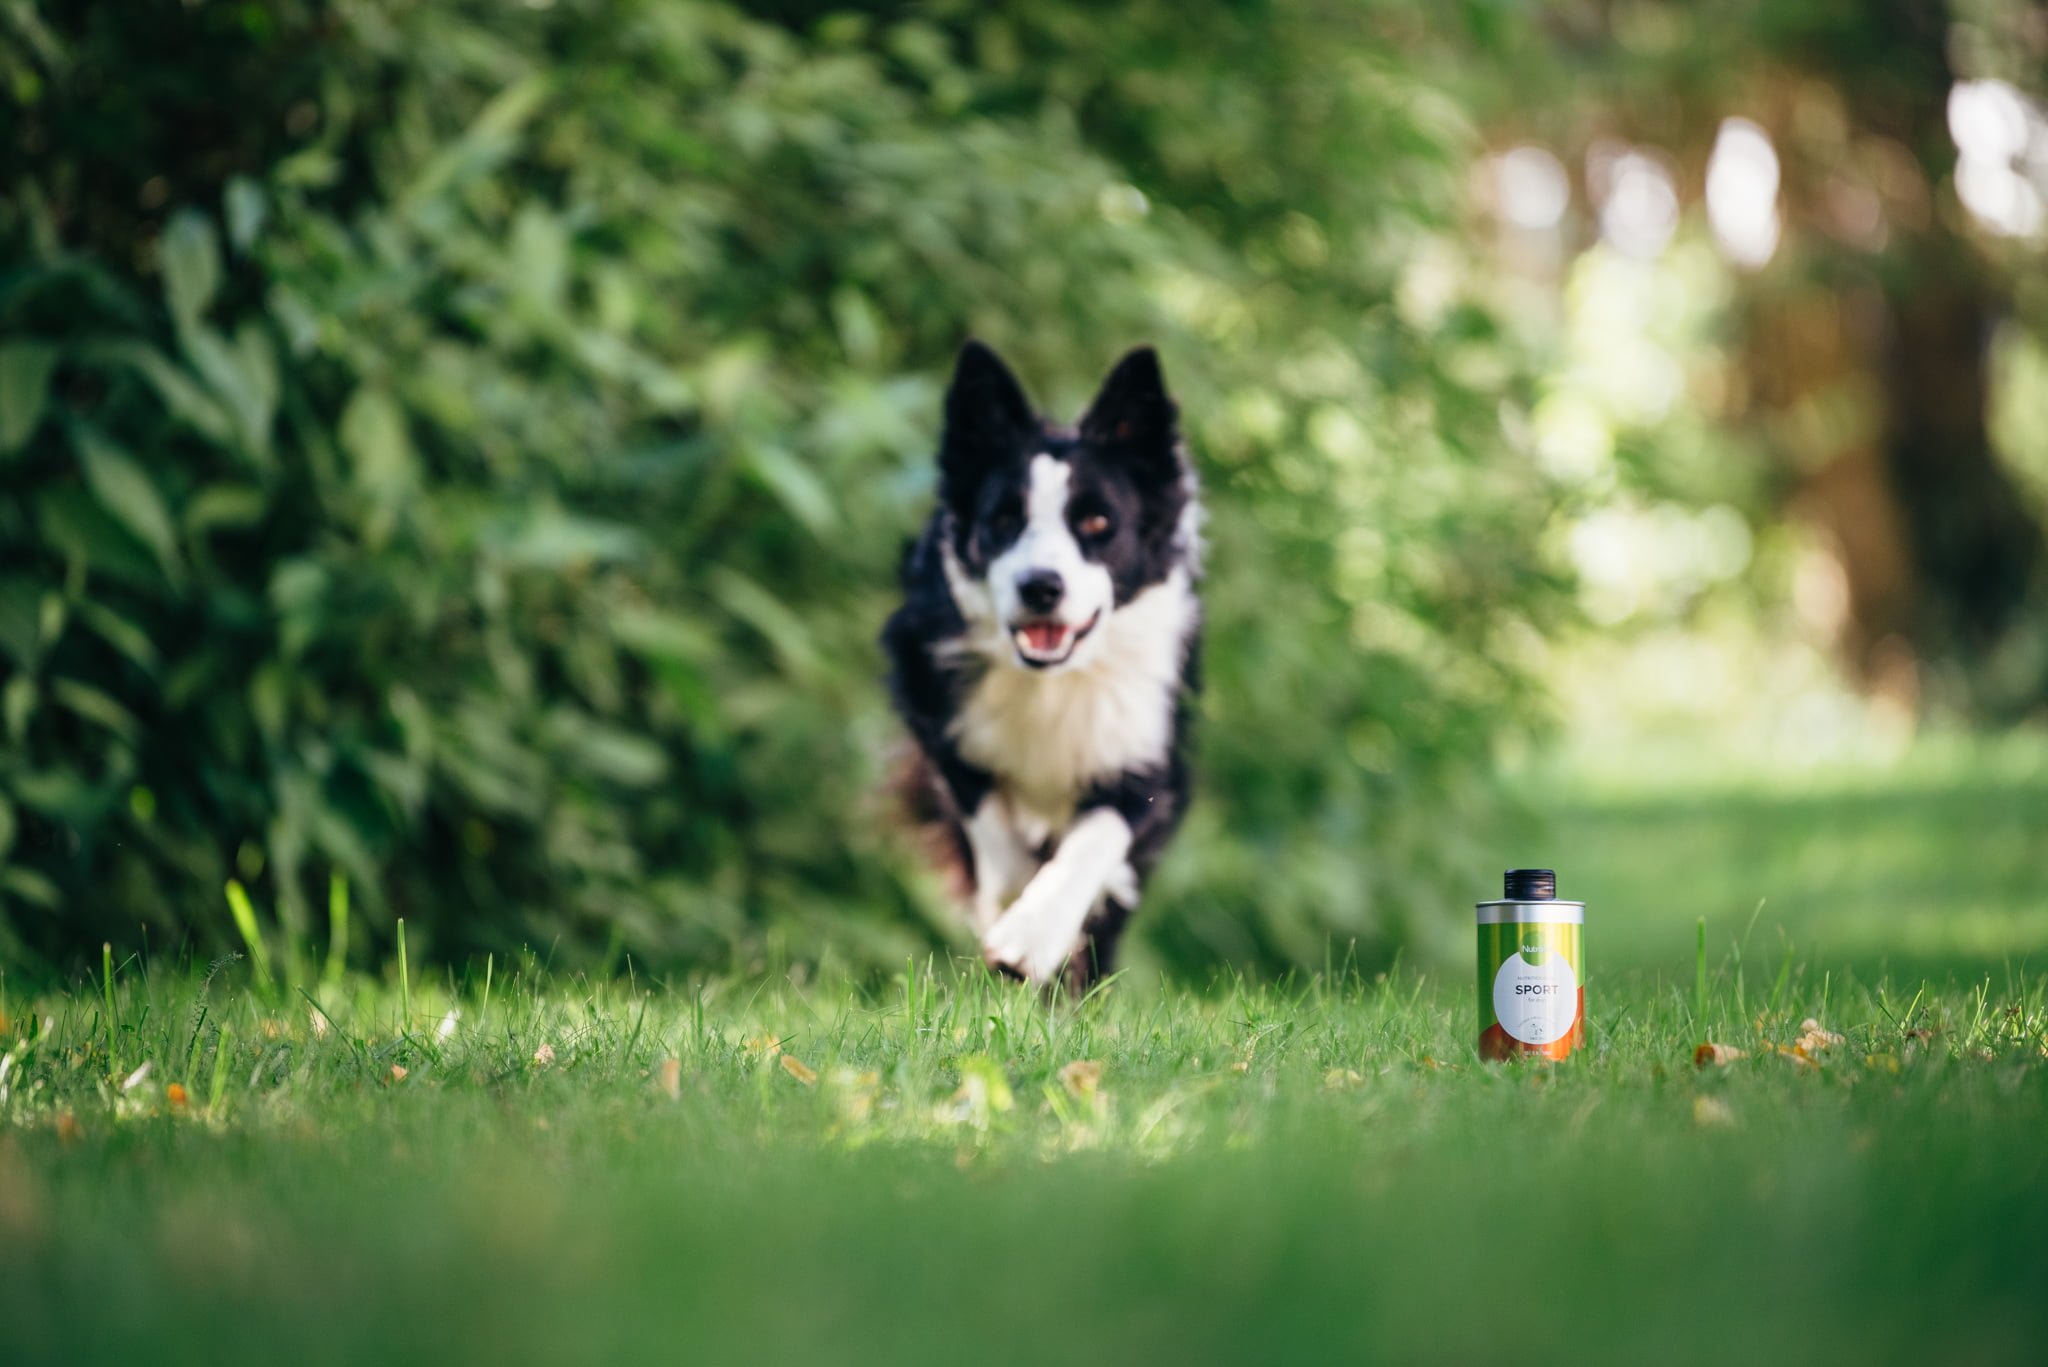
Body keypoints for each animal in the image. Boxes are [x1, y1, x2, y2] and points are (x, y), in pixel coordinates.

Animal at [880, 340, 1196, 983]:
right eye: (1004, 519)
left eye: (1098, 522)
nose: (1041, 586)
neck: (1054, 679)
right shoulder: (929, 695)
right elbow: (986, 816)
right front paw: (1011, 903)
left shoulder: (1149, 749)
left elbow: (1098, 838)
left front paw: (1033, 935)